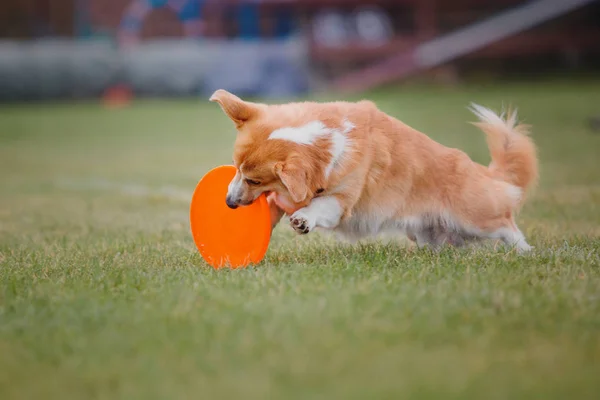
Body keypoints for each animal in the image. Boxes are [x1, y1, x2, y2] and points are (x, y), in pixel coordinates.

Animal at [211, 89, 540, 252]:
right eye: (236, 169)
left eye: (254, 180)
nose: (228, 203)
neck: (323, 137)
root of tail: (485, 173)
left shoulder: (342, 201)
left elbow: (320, 206)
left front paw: (303, 219)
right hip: (428, 234)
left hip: (477, 219)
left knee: (508, 226)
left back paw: (527, 252)